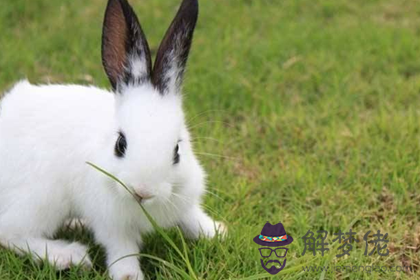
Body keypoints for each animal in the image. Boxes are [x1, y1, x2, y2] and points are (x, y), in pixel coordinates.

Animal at [0, 0, 226, 278]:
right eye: (120, 145)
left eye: (177, 151)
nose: (142, 191)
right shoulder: (113, 226)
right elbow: (122, 251)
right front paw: (129, 276)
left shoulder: (184, 202)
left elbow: (192, 219)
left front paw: (217, 232)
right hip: (40, 198)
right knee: (11, 233)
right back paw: (68, 256)